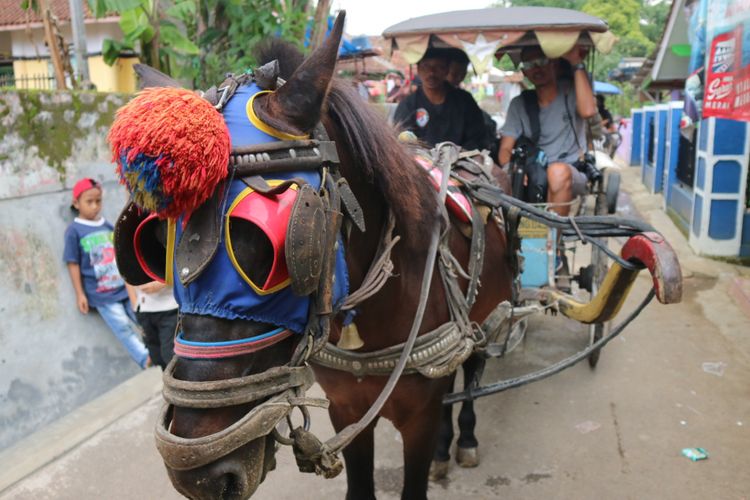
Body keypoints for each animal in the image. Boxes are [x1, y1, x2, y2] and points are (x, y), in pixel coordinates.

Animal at [113, 12, 516, 500]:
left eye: (272, 244)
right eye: (154, 240)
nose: (198, 475)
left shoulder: (419, 415)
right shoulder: (346, 409)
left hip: (485, 316)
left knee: (472, 368)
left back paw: (465, 438)